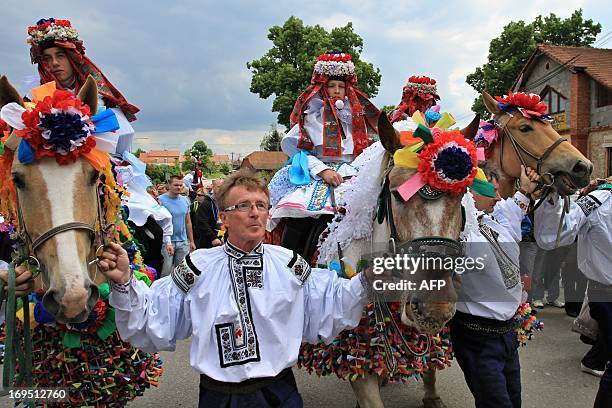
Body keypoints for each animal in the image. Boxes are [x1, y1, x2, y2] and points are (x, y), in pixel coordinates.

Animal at [304, 112, 480, 408]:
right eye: (397, 194)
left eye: (460, 197)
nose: (435, 307)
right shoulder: (356, 352)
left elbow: (430, 363)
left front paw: (432, 397)